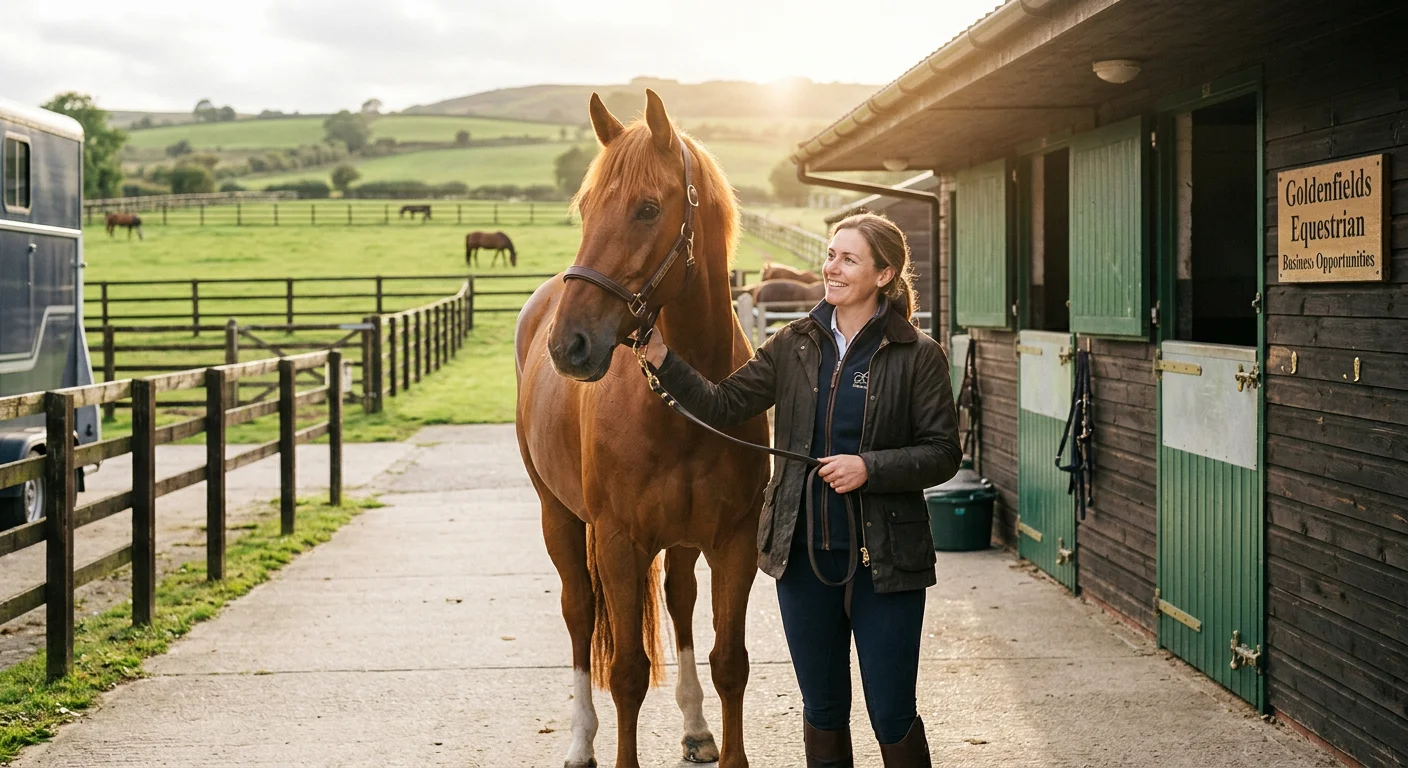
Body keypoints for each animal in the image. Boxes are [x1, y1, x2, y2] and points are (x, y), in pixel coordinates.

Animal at [515, 90, 768, 768]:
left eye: (647, 208)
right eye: (584, 208)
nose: (569, 344)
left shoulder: (734, 540)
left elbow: (730, 662)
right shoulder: (618, 542)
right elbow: (626, 671)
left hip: (680, 542)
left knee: (680, 600)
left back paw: (696, 728)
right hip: (559, 517)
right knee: (580, 613)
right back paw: (581, 741)